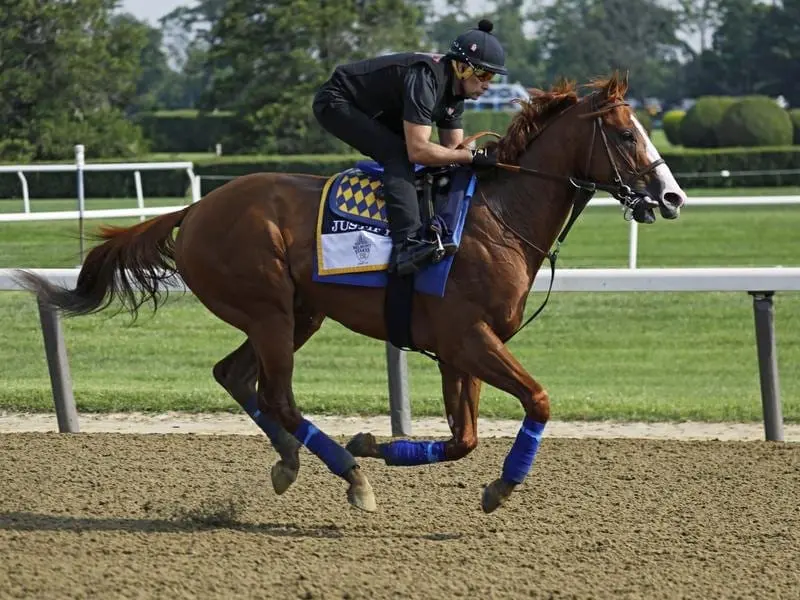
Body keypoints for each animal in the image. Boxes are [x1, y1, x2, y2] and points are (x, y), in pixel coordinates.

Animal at [15, 74, 684, 516]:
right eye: (626, 134)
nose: (672, 197)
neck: (497, 216)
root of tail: (196, 208)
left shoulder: (460, 347)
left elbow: (463, 439)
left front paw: (385, 445)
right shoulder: (470, 338)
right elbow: (538, 401)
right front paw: (500, 486)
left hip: (297, 314)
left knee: (235, 376)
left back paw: (291, 459)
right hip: (269, 311)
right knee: (277, 396)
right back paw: (350, 475)